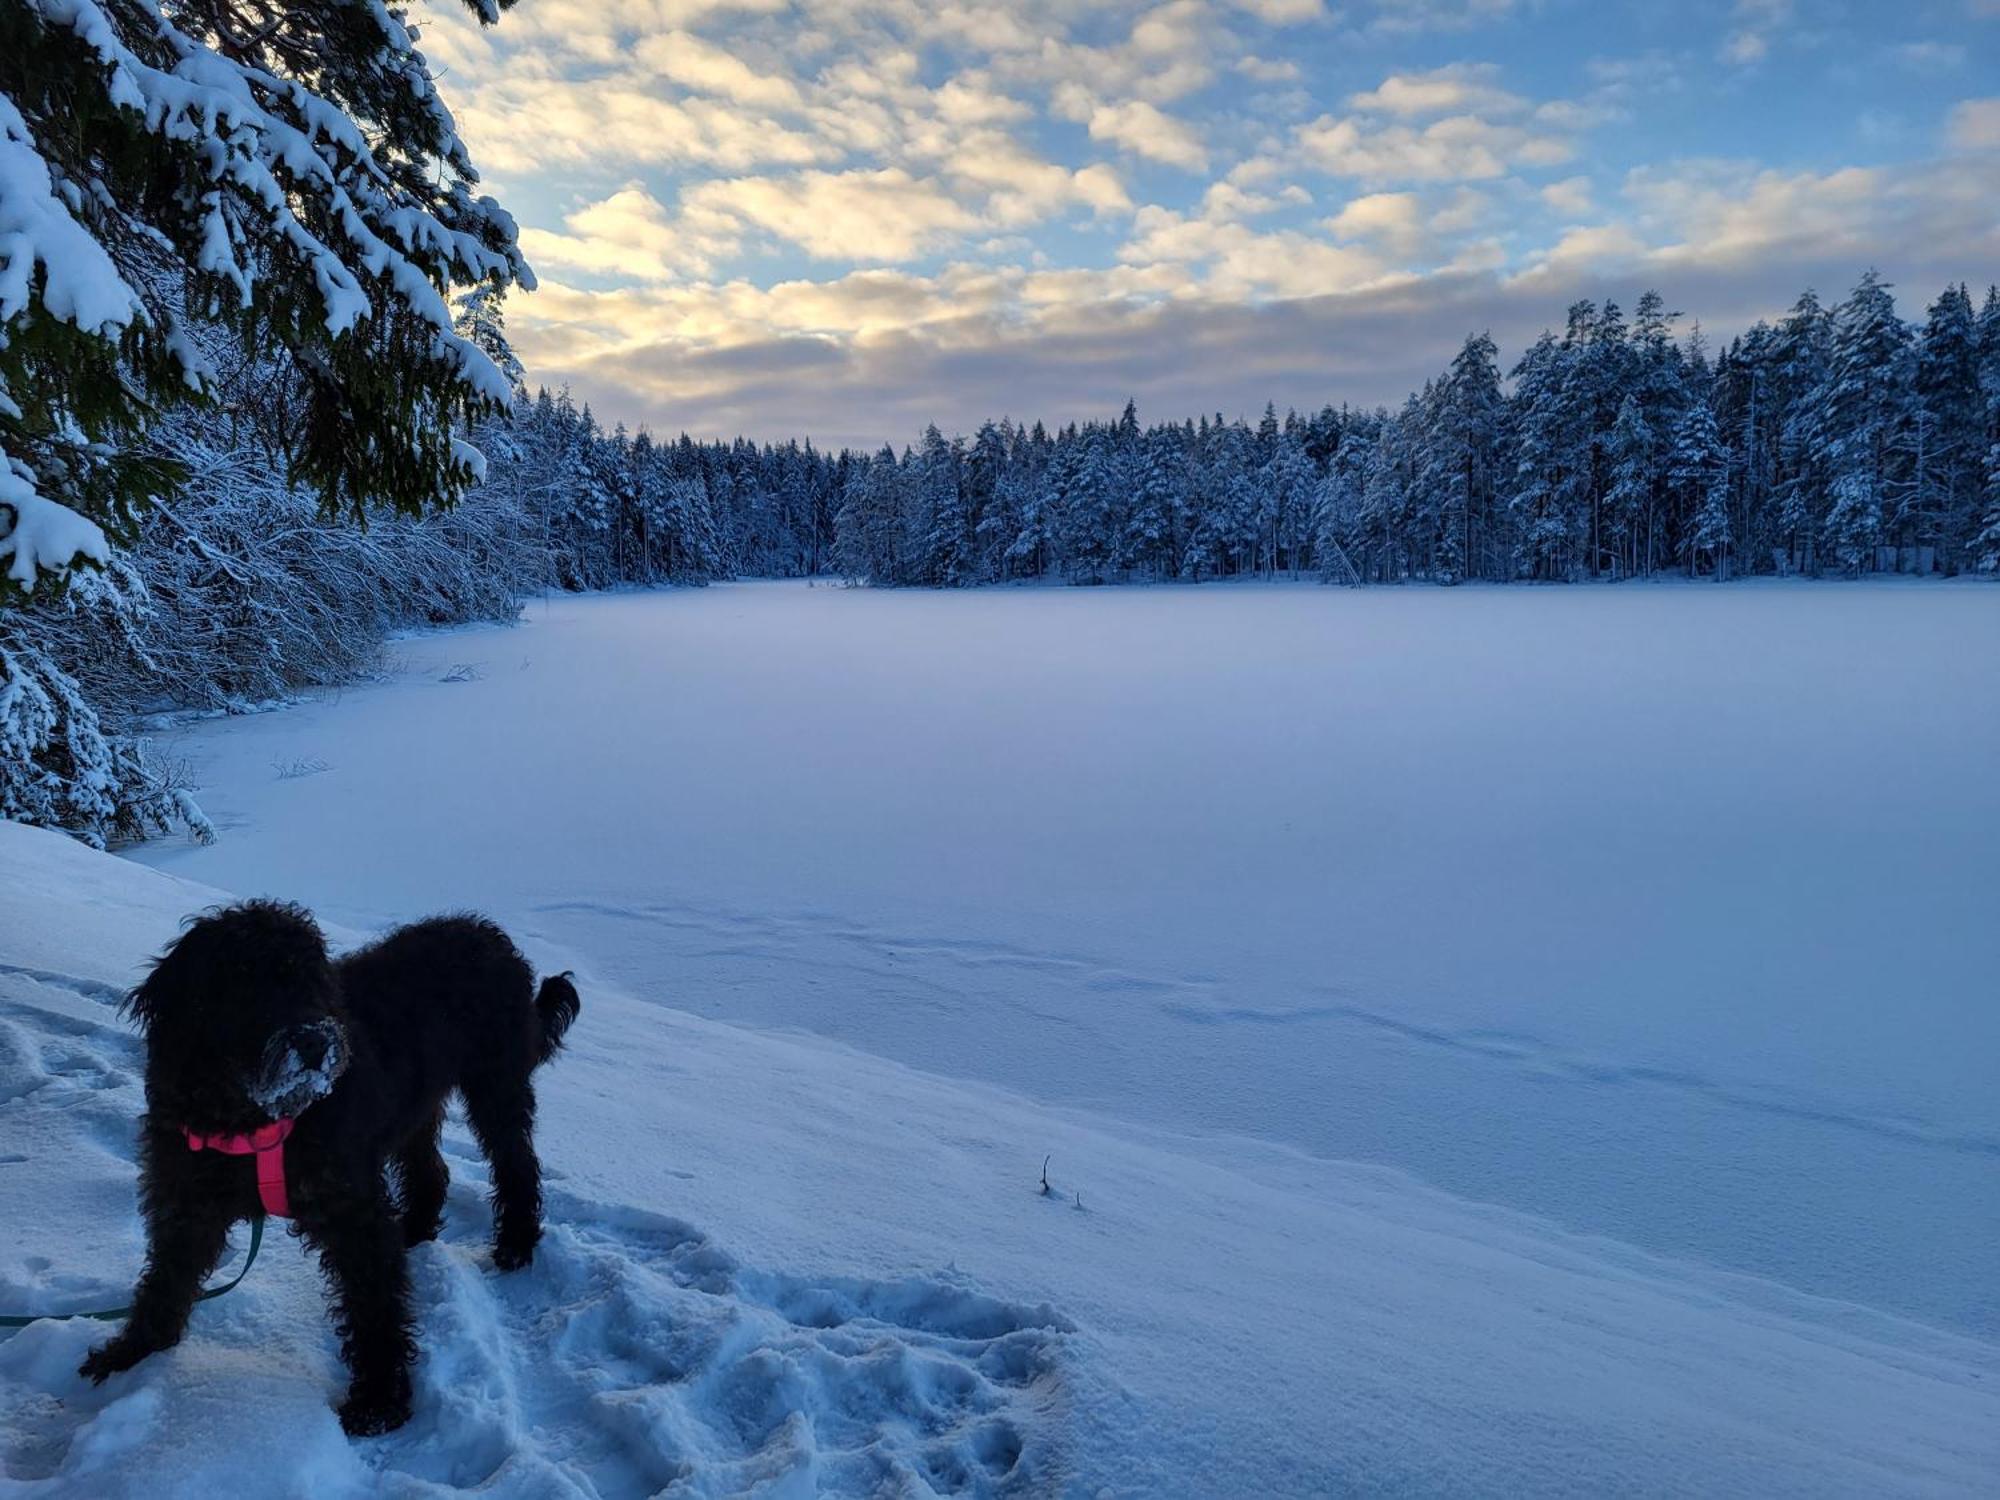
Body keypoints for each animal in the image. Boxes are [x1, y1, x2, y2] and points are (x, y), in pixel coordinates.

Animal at [78, 904, 580, 1432]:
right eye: (245, 982)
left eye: (313, 981)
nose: (316, 1043)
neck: (252, 1117)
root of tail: (489, 935)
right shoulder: (187, 1203)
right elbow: (166, 1280)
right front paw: (130, 1356)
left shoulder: (351, 1212)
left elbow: (374, 1305)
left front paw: (378, 1401)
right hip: (415, 1106)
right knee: (430, 1169)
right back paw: (414, 1229)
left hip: (496, 1086)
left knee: (517, 1164)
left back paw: (516, 1244)